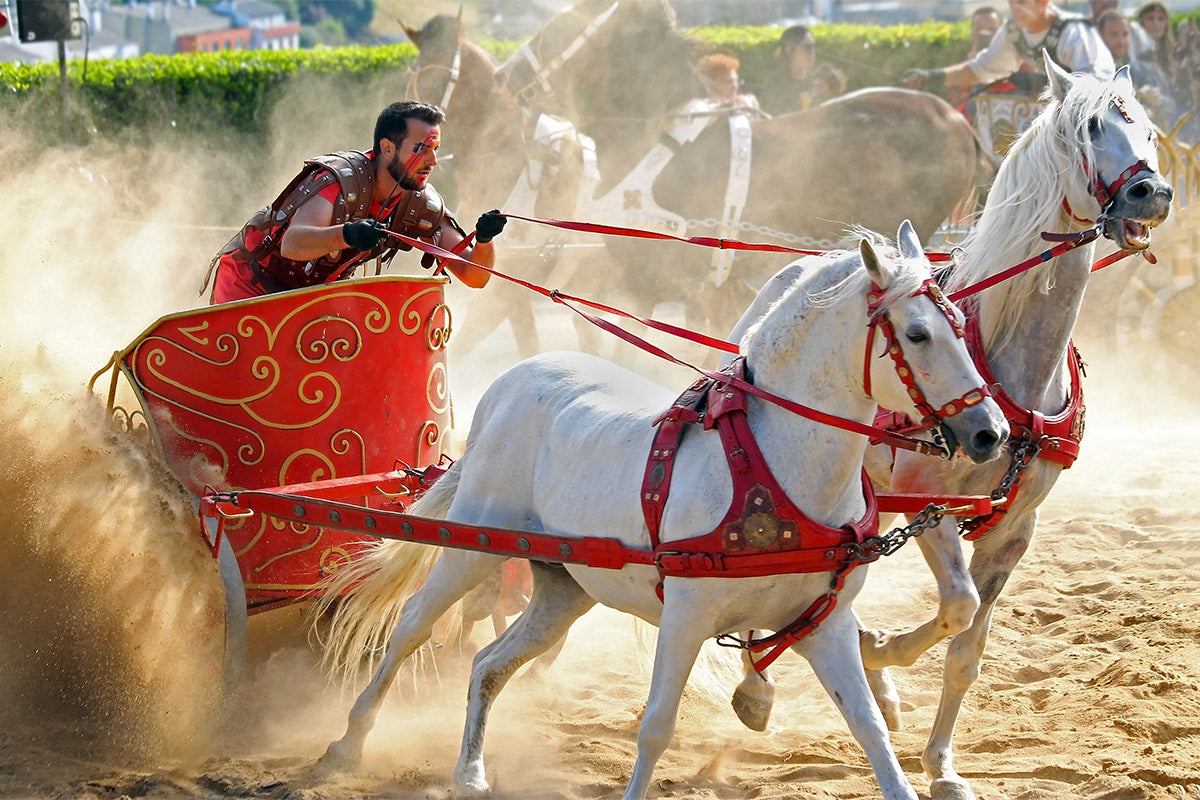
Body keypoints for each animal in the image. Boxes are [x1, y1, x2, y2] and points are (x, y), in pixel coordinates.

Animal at [314, 220, 1008, 800]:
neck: (774, 464)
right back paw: (347, 742)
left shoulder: (825, 623)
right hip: (474, 544)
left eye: (959, 324)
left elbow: (869, 728)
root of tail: (507, 386)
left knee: (489, 663)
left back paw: (471, 772)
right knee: (412, 626)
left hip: (563, 589)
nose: (990, 433)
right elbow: (657, 726)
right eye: (917, 334)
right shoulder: (685, 617)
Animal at [720, 57, 1171, 800]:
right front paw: (883, 649)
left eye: (1150, 130)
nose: (1151, 193)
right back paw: (767, 679)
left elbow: (968, 648)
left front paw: (941, 765)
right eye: (1092, 128)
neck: (1011, 360)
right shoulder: (928, 506)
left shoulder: (1015, 529)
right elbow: (956, 604)